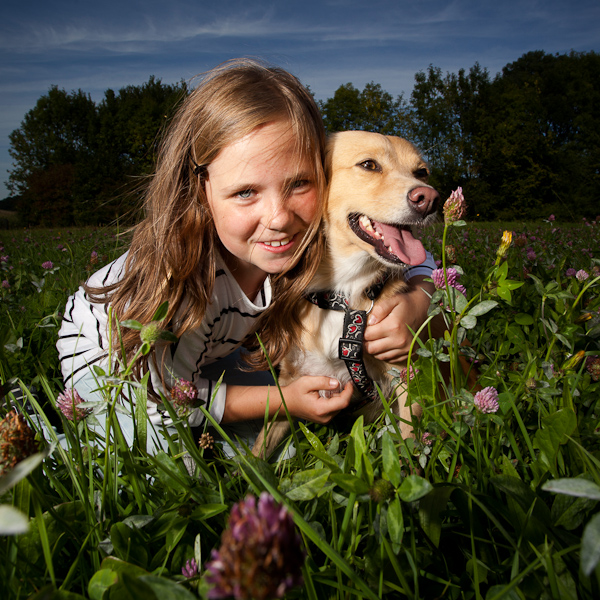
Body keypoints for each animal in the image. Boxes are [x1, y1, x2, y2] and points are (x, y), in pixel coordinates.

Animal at [251, 131, 438, 458]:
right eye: (369, 165)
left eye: (422, 172)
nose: (429, 199)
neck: (343, 297)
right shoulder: (293, 384)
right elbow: (259, 449)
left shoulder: (406, 380)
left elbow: (408, 445)